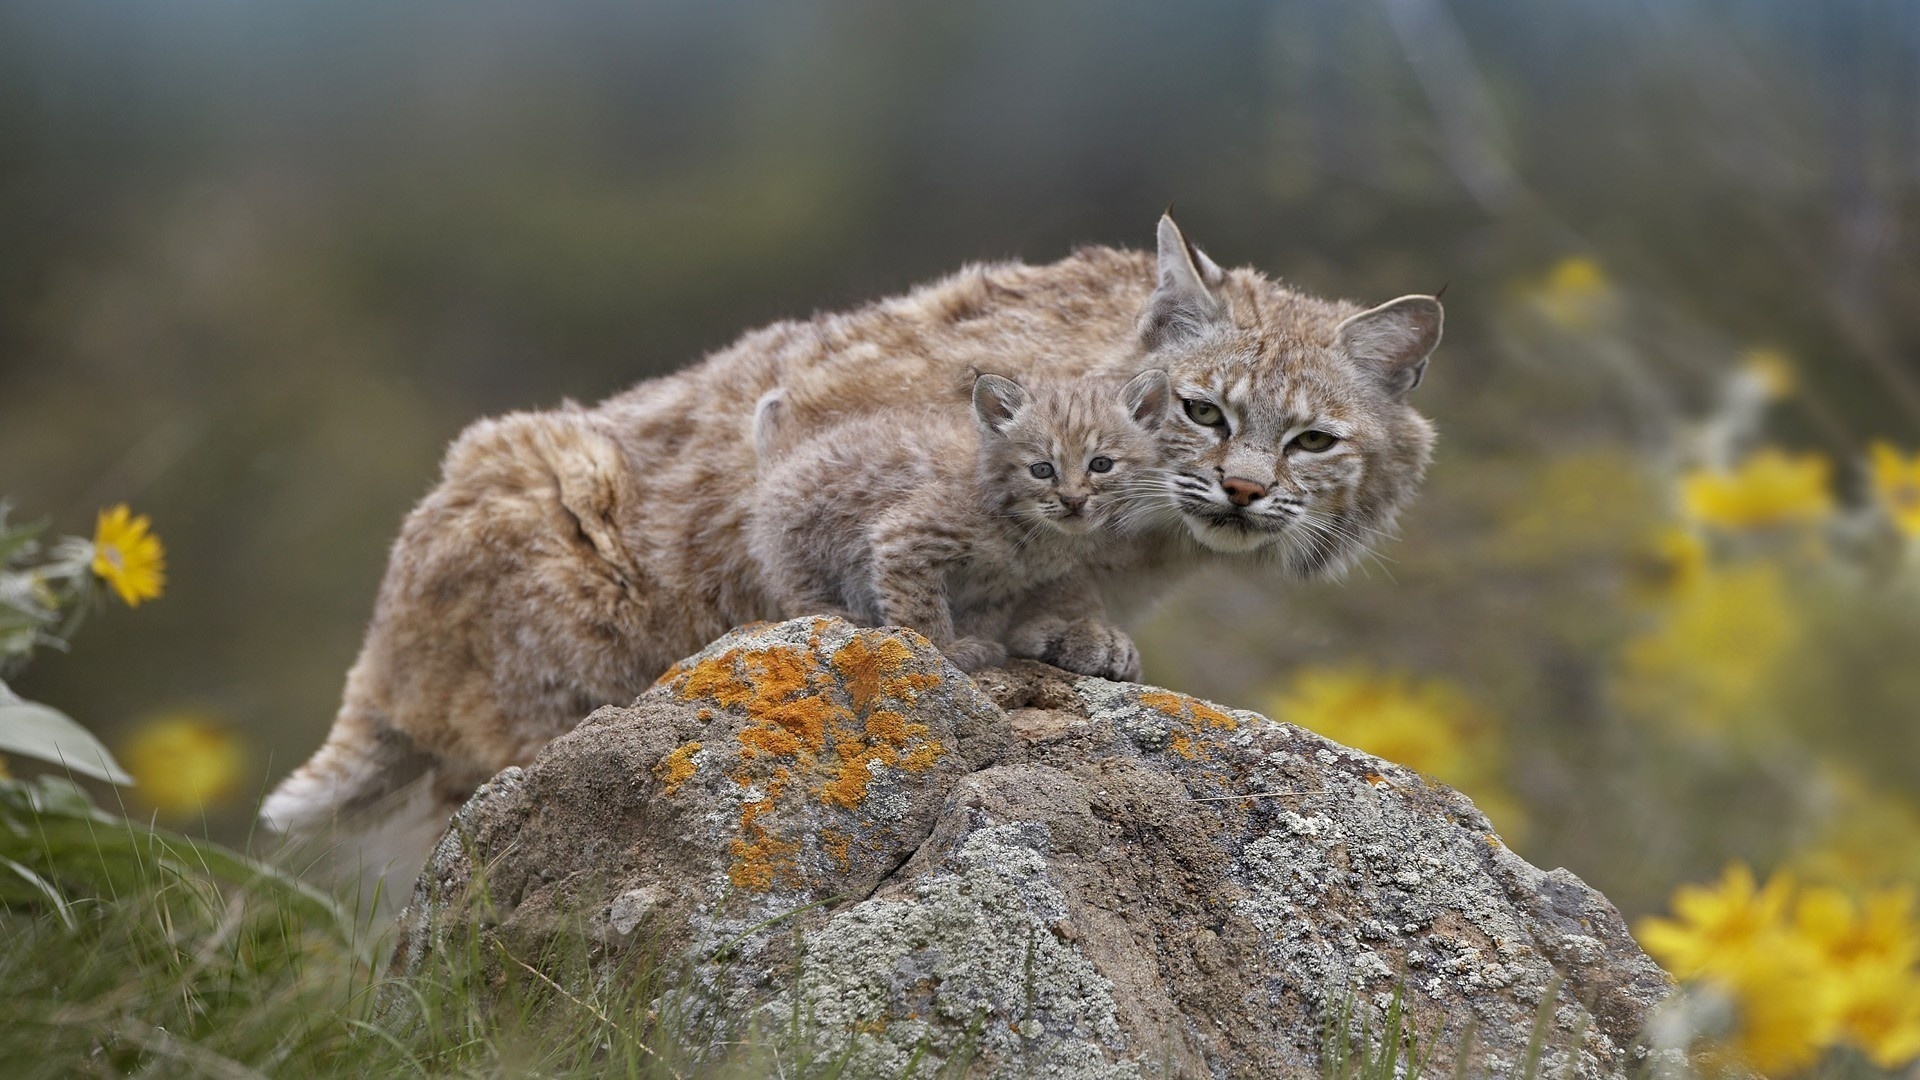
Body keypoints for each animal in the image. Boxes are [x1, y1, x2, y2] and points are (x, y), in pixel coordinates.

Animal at [748, 368, 1167, 672]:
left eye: (1101, 464)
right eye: (1042, 469)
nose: (1073, 501)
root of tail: (785, 457)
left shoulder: (1000, 583)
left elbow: (983, 616)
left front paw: (975, 643)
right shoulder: (903, 538)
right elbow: (920, 609)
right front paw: (944, 652)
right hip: (805, 542)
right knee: (797, 593)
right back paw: (843, 616)